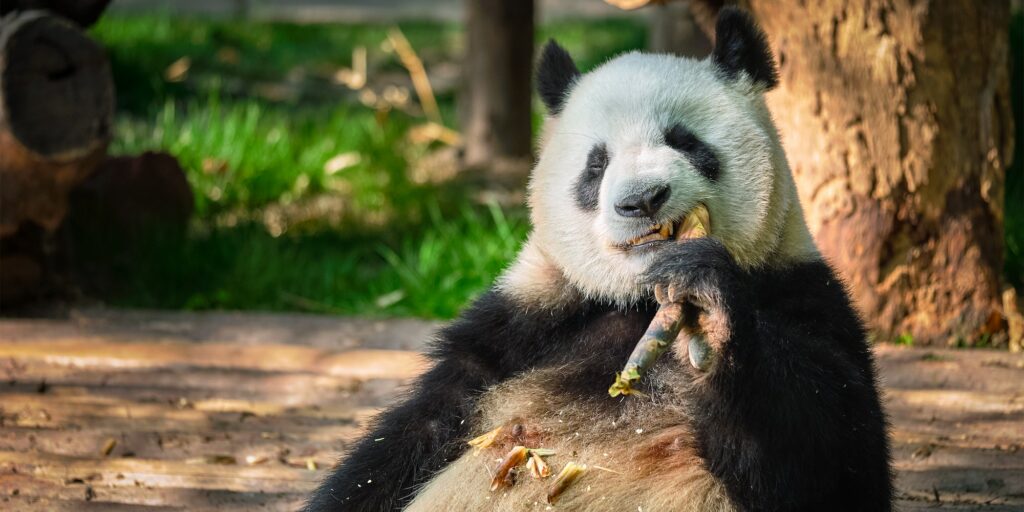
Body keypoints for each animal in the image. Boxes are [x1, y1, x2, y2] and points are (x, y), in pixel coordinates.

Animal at [307, 7, 893, 512]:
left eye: (685, 141)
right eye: (596, 164)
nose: (641, 200)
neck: (637, 299)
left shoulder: (803, 295)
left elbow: (835, 460)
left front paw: (707, 310)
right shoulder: (524, 322)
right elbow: (411, 437)